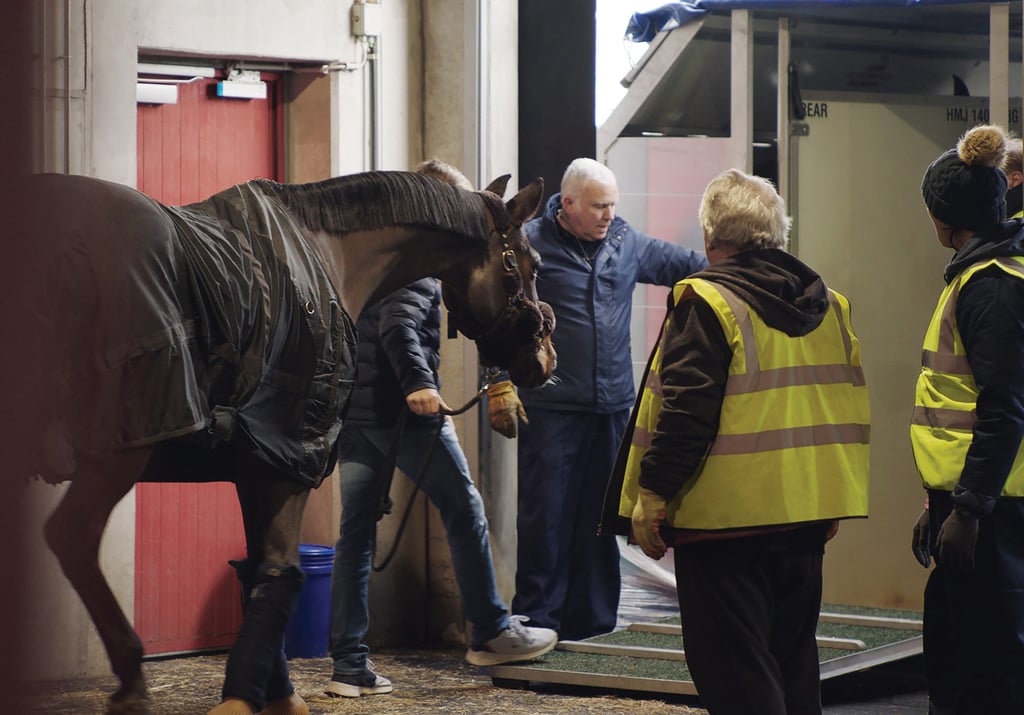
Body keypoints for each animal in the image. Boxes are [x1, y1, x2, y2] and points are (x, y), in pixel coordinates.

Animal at [16, 170, 556, 715]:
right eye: (532, 263)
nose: (544, 360)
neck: (325, 255)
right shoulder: (289, 463)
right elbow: (282, 569)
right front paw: (245, 696)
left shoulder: (256, 463)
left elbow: (260, 569)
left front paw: (273, 691)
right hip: (118, 453)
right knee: (72, 537)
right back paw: (130, 680)